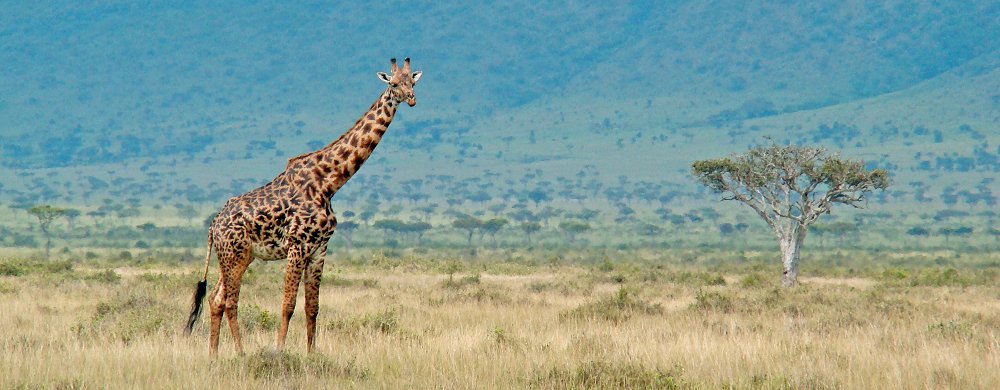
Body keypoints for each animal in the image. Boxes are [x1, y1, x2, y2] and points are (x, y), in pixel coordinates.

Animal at [186, 58, 420, 356]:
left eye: (412, 82)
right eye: (394, 83)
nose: (411, 99)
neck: (329, 182)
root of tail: (213, 226)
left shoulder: (319, 249)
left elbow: (313, 307)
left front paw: (311, 354)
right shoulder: (297, 246)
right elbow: (287, 305)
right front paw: (279, 351)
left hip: (239, 255)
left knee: (216, 298)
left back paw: (214, 356)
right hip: (234, 255)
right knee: (230, 301)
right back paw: (240, 352)